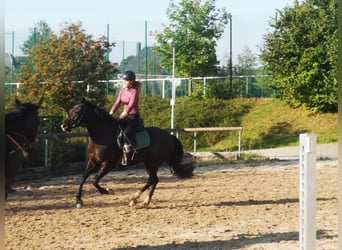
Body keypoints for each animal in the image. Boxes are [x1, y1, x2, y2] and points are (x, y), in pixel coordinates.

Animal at [61, 98, 194, 209]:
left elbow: (94, 180)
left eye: (78, 111)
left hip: (153, 163)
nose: (64, 126)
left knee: (152, 179)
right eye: (70, 110)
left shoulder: (108, 164)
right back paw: (144, 201)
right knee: (154, 180)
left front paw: (107, 191)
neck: (102, 135)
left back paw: (135, 198)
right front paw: (78, 200)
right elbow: (83, 177)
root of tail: (169, 136)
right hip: (149, 163)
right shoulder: (93, 162)